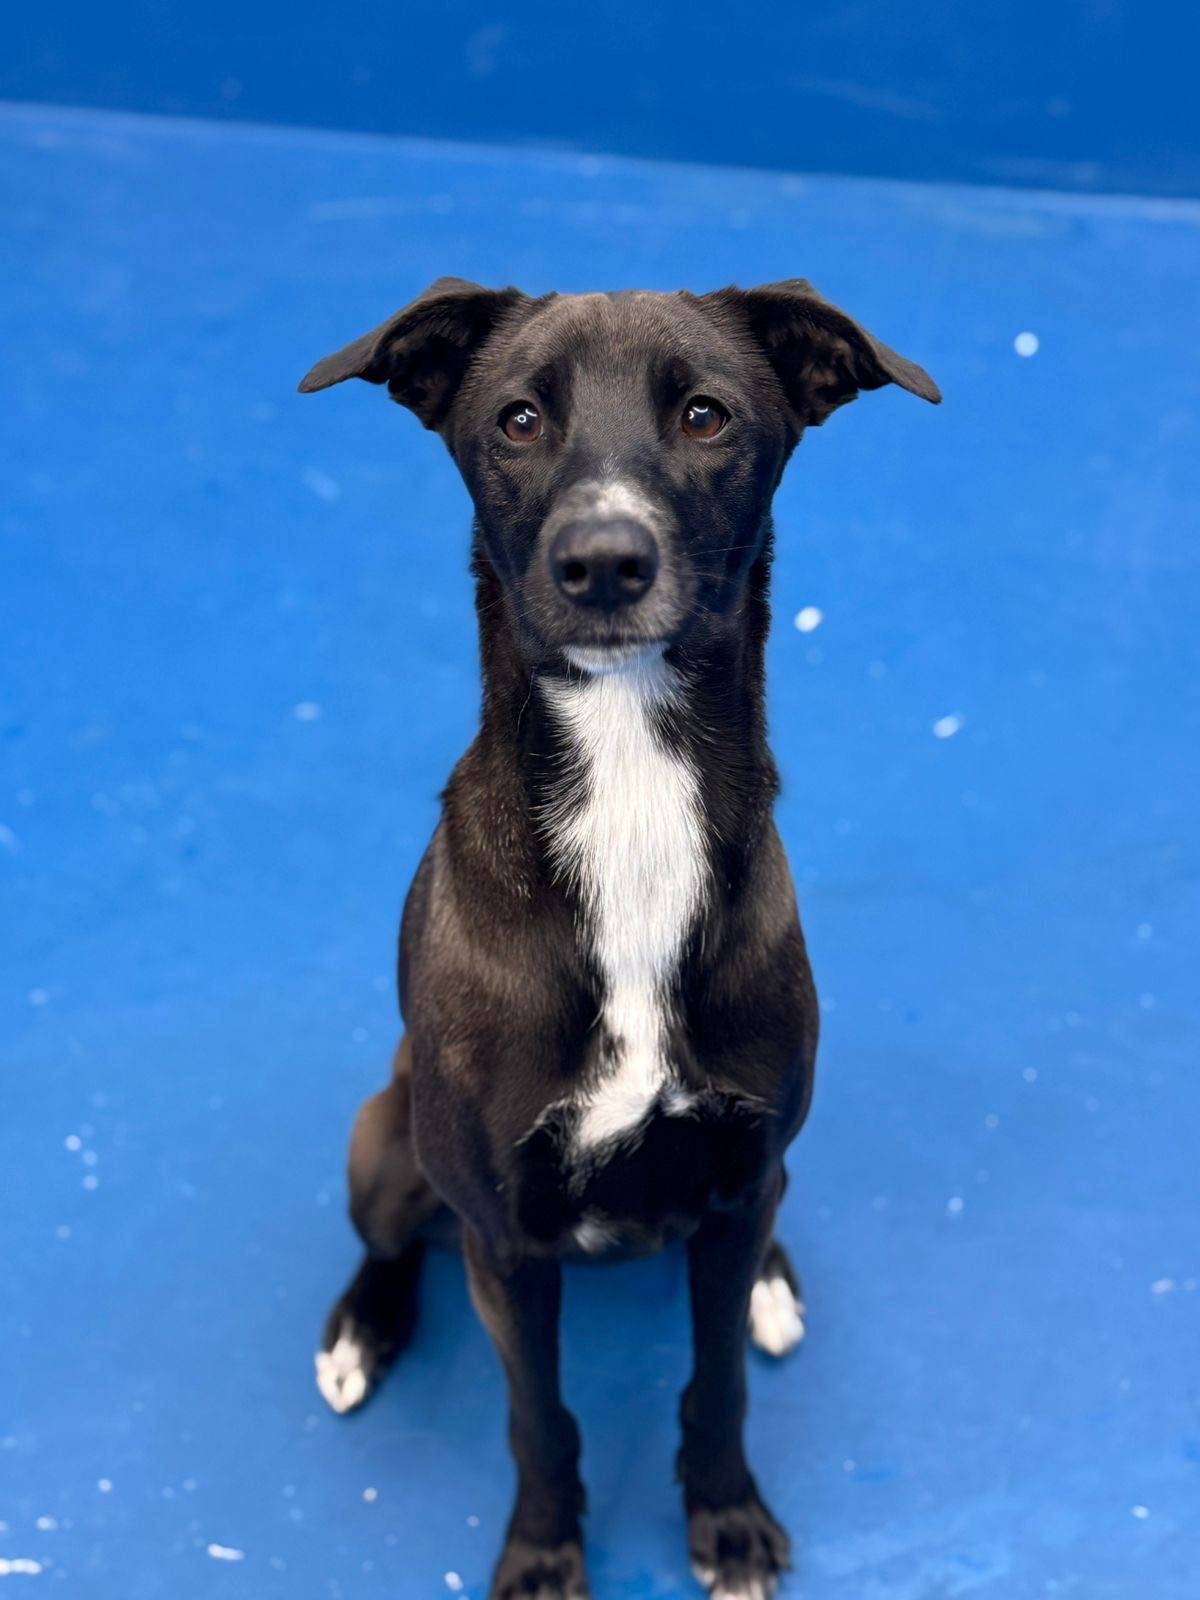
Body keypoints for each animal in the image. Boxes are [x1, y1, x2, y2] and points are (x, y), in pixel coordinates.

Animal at [299, 277, 939, 1599]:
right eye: (518, 417)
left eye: (705, 414)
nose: (603, 560)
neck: (632, 789)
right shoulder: (503, 1237)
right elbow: (538, 1418)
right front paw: (544, 1552)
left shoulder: (739, 1180)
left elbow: (720, 1383)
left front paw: (728, 1520)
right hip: (386, 1135)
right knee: (389, 1241)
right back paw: (360, 1330)